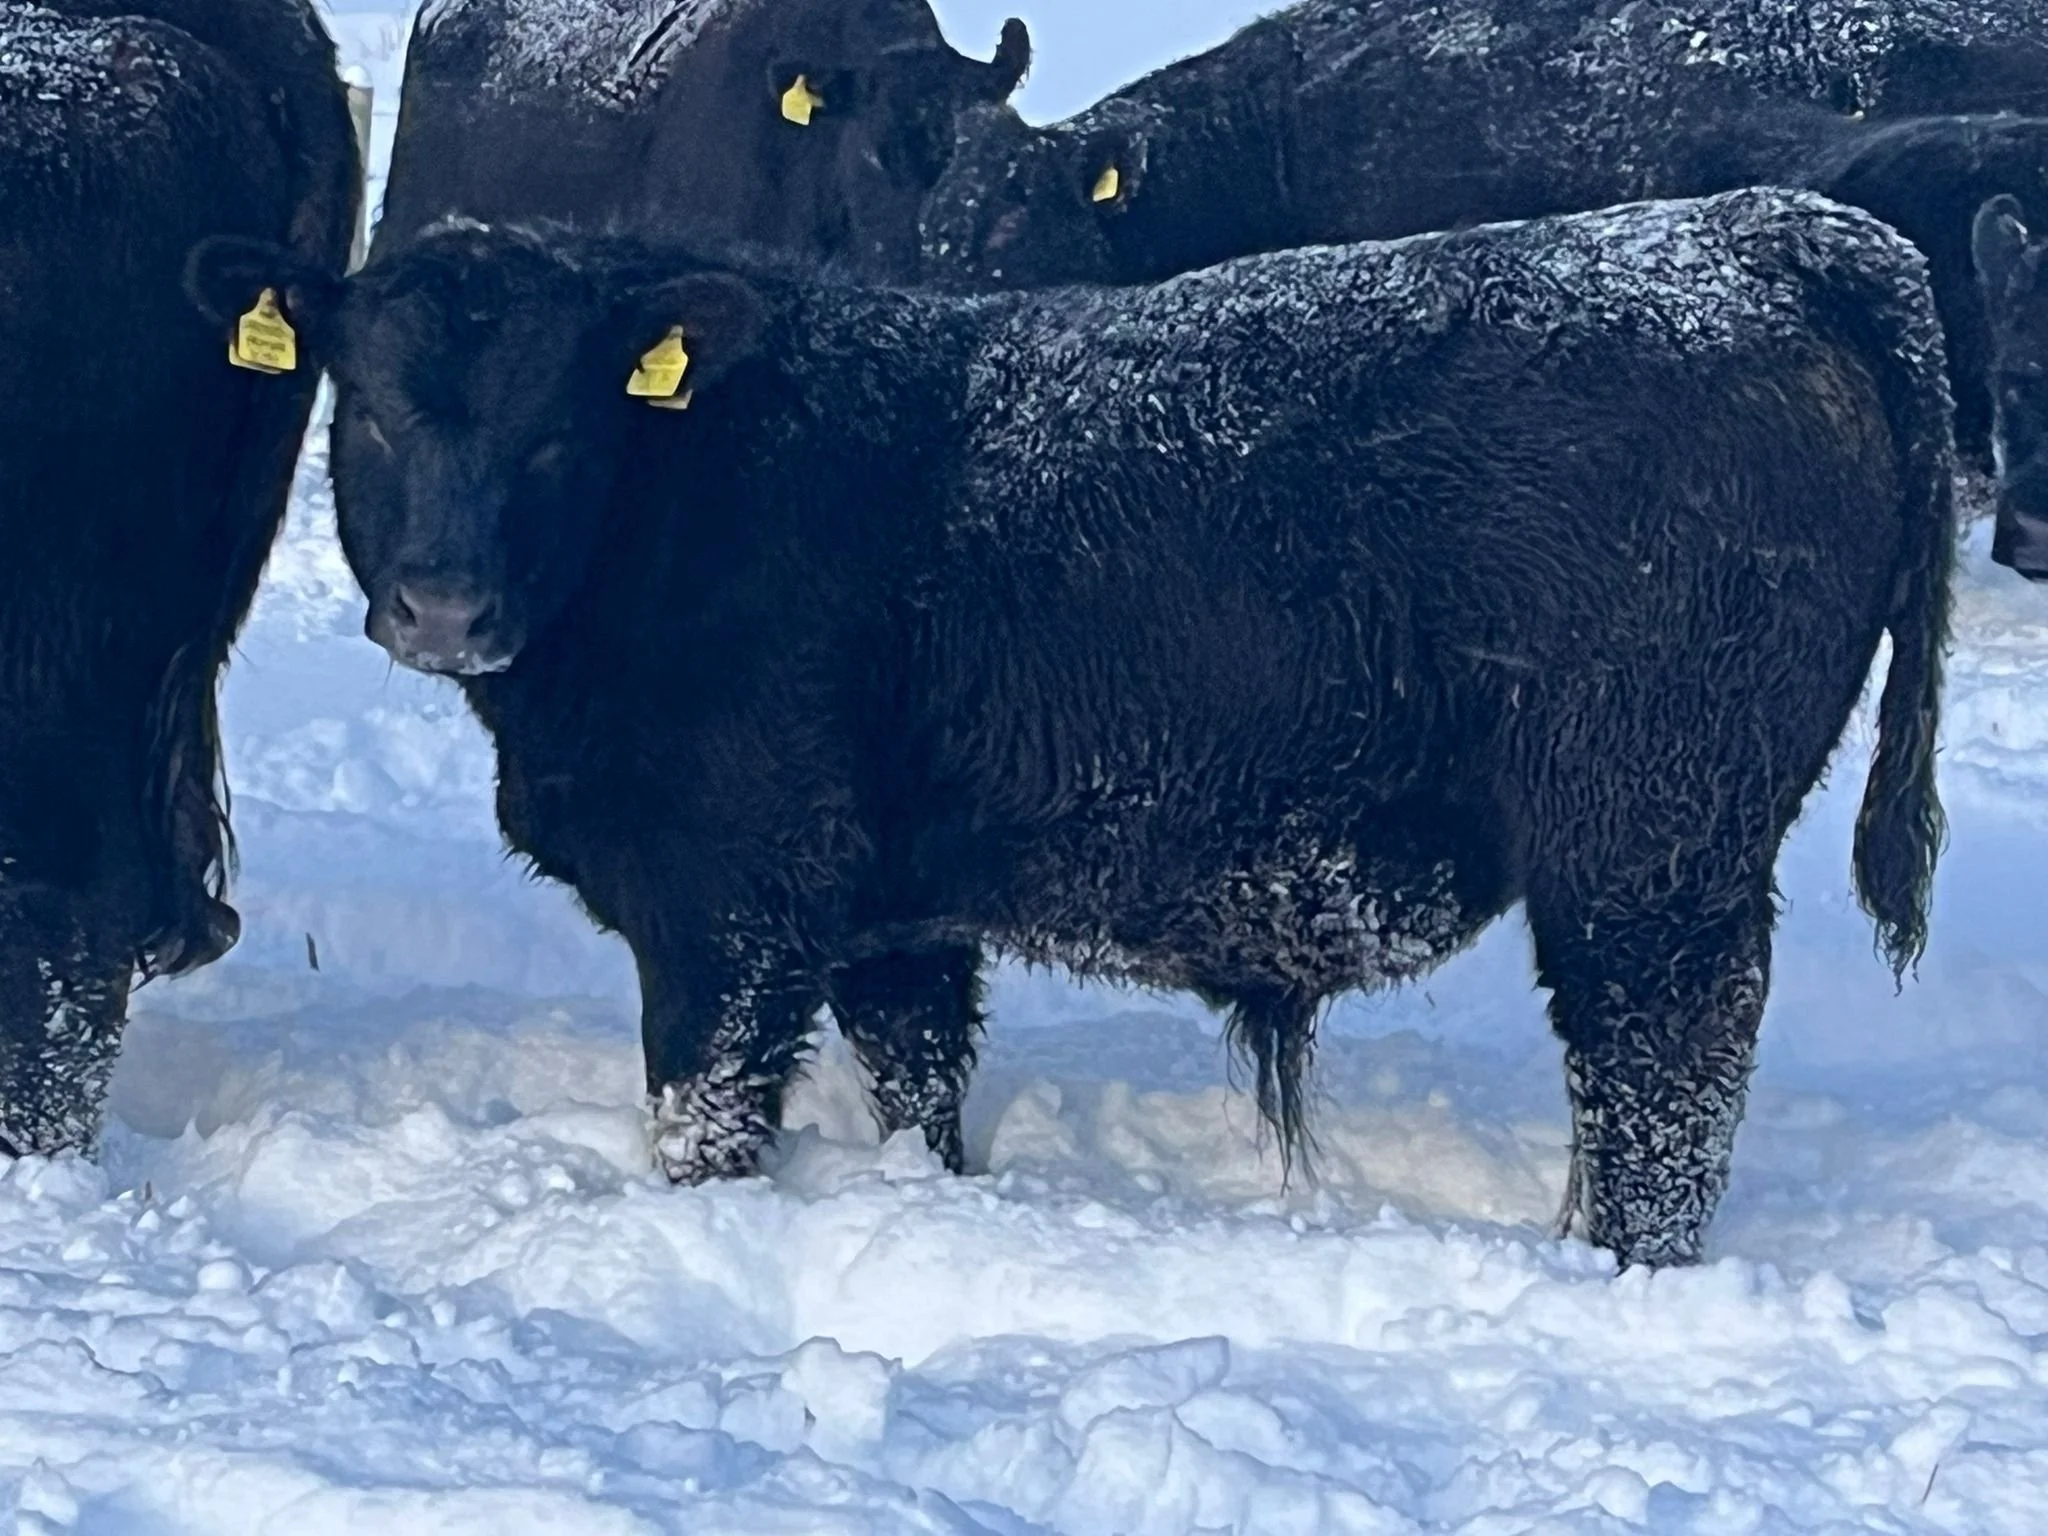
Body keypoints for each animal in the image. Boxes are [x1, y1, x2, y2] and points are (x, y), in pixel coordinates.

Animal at [196, 184, 1953, 1267]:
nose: (440, 605)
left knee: (1665, 1080)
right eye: (368, 406)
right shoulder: (888, 912)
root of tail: (1751, 227)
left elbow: (701, 1120)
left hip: (1651, 853)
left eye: (561, 427)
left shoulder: (730, 902)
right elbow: (919, 1093)